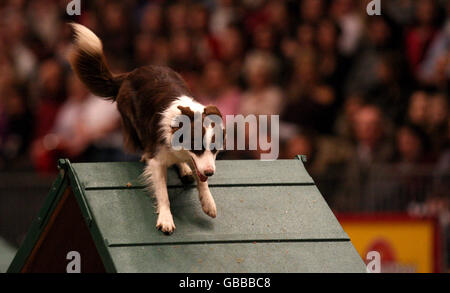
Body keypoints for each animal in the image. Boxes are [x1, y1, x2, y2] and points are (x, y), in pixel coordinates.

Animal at [69, 23, 225, 233]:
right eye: (197, 148)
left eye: (215, 150)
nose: (210, 173)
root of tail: (130, 73)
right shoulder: (157, 160)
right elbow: (163, 192)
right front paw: (166, 219)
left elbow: (200, 179)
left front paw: (208, 202)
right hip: (132, 119)